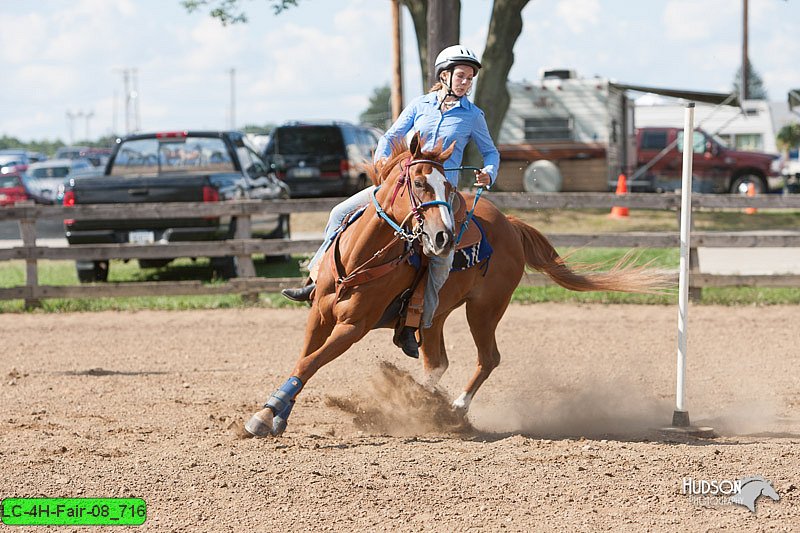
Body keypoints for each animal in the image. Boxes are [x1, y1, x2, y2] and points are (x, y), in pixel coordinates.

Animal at [247, 130, 672, 436]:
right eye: (419, 183)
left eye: (448, 188)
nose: (443, 238)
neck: (360, 258)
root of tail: (510, 225)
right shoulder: (319, 315)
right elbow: (304, 360)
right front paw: (277, 415)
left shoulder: (353, 327)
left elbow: (311, 362)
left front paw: (263, 417)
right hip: (434, 316)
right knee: (437, 363)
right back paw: (425, 403)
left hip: (484, 309)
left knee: (488, 359)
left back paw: (451, 410)